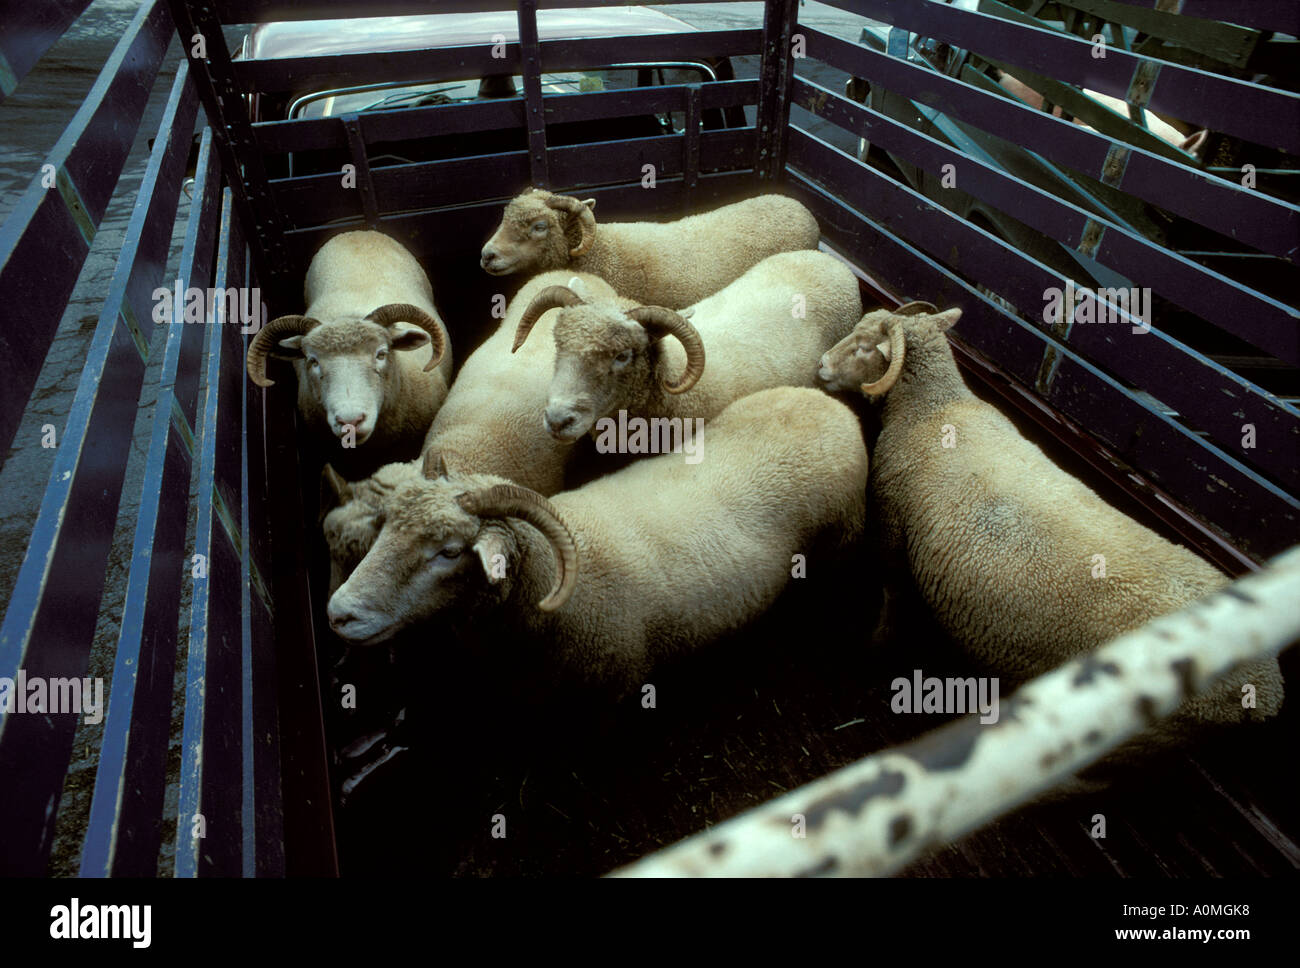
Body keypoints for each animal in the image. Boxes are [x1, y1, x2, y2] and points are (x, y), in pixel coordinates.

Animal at [816, 304, 1284, 765]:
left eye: (864, 345)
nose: (821, 365)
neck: (932, 408)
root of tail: (1266, 692)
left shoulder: (893, 527)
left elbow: (891, 598)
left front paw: (874, 646)